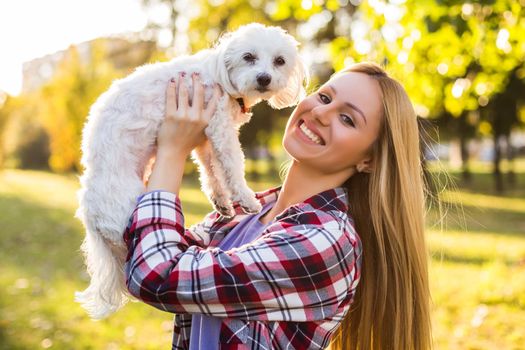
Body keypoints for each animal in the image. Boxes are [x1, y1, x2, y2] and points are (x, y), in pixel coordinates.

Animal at [73, 22, 308, 320]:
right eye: (248, 57)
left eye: (279, 61)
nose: (264, 78)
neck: (221, 78)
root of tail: (89, 213)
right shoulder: (220, 129)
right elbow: (232, 166)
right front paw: (246, 199)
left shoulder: (205, 140)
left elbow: (211, 173)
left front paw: (222, 203)